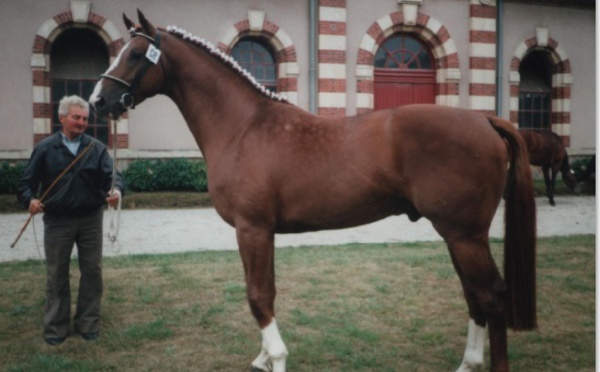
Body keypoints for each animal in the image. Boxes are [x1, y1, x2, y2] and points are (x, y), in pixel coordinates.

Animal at [88, 10, 536, 370]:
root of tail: (486, 121)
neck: (243, 127)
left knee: (492, 296)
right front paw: (264, 358)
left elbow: (258, 296)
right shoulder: (259, 232)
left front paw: (276, 358)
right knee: (475, 297)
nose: (98, 101)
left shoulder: (252, 229)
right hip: (459, 235)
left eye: (134, 54)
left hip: (464, 235)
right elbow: (263, 293)